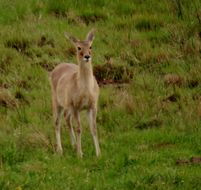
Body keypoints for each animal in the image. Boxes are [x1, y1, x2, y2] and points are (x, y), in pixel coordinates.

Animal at [49, 29, 100, 157]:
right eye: (78, 47)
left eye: (91, 46)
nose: (87, 56)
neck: (85, 90)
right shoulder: (75, 106)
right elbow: (79, 128)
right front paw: (80, 154)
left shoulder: (92, 105)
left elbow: (93, 128)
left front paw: (98, 153)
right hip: (56, 102)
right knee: (57, 122)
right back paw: (60, 150)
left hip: (67, 107)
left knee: (67, 118)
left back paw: (73, 145)